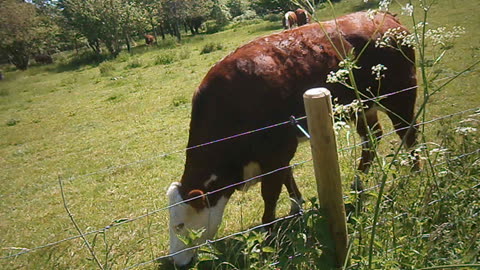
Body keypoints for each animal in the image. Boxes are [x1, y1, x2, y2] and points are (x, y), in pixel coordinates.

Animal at [167, 11, 418, 266]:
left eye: (179, 225)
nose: (175, 262)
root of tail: (384, 16)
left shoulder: (276, 151)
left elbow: (270, 194)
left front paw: (267, 237)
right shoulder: (277, 152)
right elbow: (288, 177)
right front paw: (296, 206)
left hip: (400, 96)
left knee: (408, 132)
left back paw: (415, 173)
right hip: (361, 108)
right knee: (372, 138)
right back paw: (358, 183)